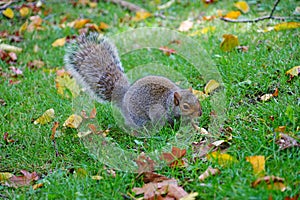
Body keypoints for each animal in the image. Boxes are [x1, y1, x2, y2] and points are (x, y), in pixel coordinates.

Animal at [64, 32, 203, 130]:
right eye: (185, 106)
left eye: (197, 99)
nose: (200, 113)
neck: (168, 101)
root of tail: (123, 97)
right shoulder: (158, 111)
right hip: (137, 116)